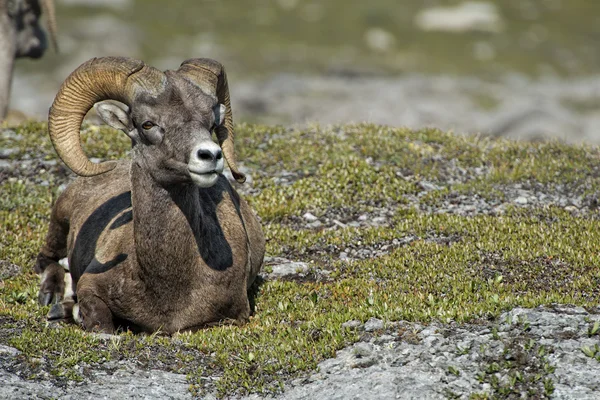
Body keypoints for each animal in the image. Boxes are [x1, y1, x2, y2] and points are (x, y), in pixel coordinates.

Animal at [34, 54, 264, 332]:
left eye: (211, 123)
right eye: (147, 124)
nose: (210, 156)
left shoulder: (234, 316)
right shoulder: (91, 286)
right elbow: (100, 321)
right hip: (59, 220)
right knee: (46, 260)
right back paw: (52, 297)